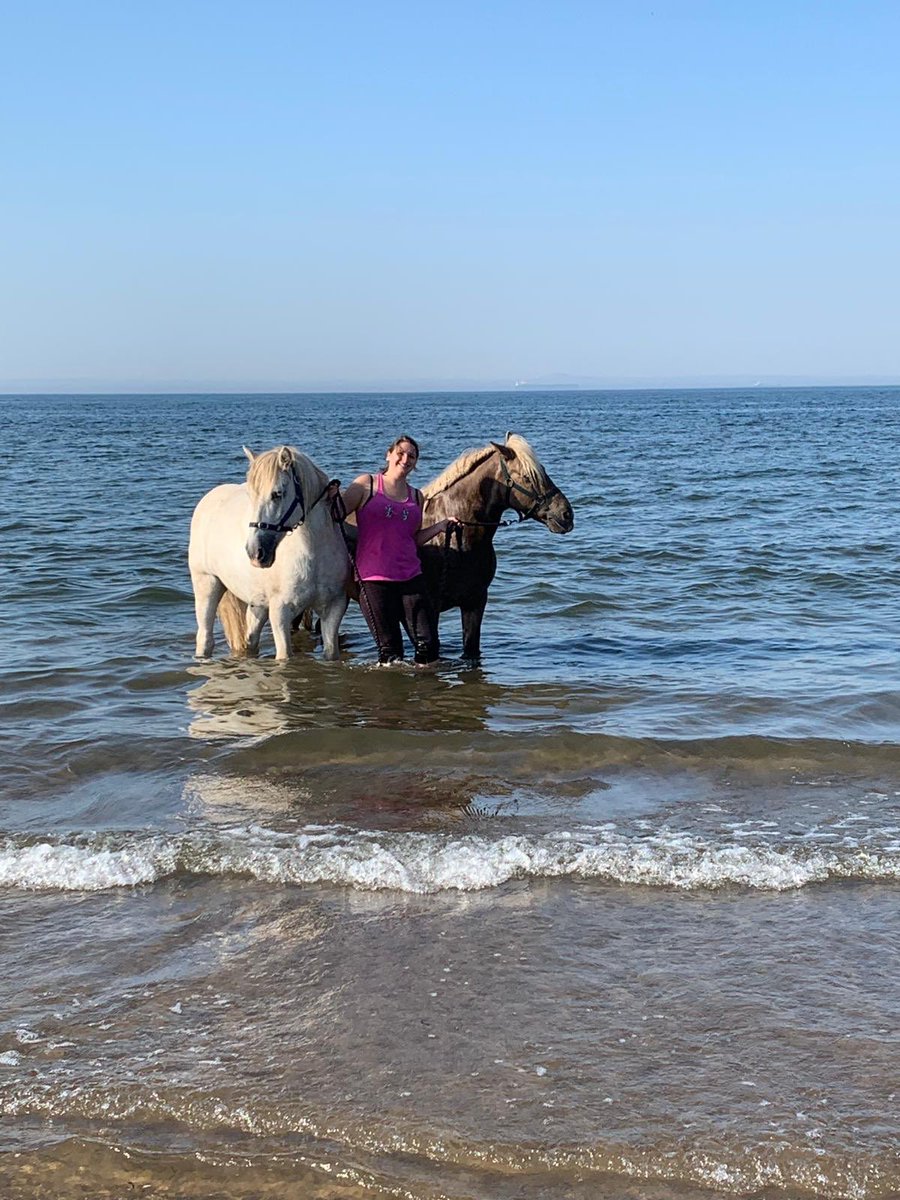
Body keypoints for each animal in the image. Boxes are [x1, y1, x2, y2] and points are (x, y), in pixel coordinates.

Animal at [188, 445, 350, 660]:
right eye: (252, 495)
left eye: (277, 494)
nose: (255, 552)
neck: (314, 555)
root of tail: (210, 498)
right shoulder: (280, 611)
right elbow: (285, 657)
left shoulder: (333, 608)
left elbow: (331, 653)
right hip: (207, 584)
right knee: (205, 637)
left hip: (257, 604)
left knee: (250, 639)